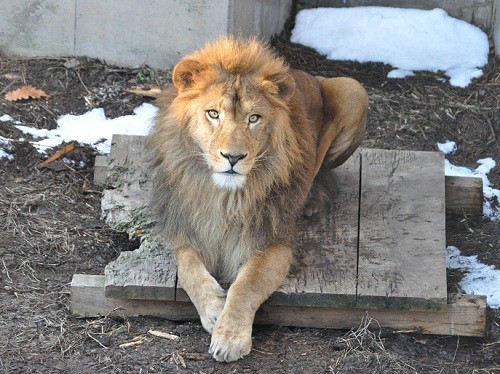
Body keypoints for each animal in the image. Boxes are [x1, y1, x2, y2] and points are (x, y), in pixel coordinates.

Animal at [146, 36, 370, 360]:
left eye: (254, 118)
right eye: (213, 114)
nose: (233, 157)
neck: (224, 197)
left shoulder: (275, 243)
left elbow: (247, 285)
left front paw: (230, 336)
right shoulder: (188, 231)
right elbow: (188, 270)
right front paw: (214, 309)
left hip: (353, 89)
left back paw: (310, 200)